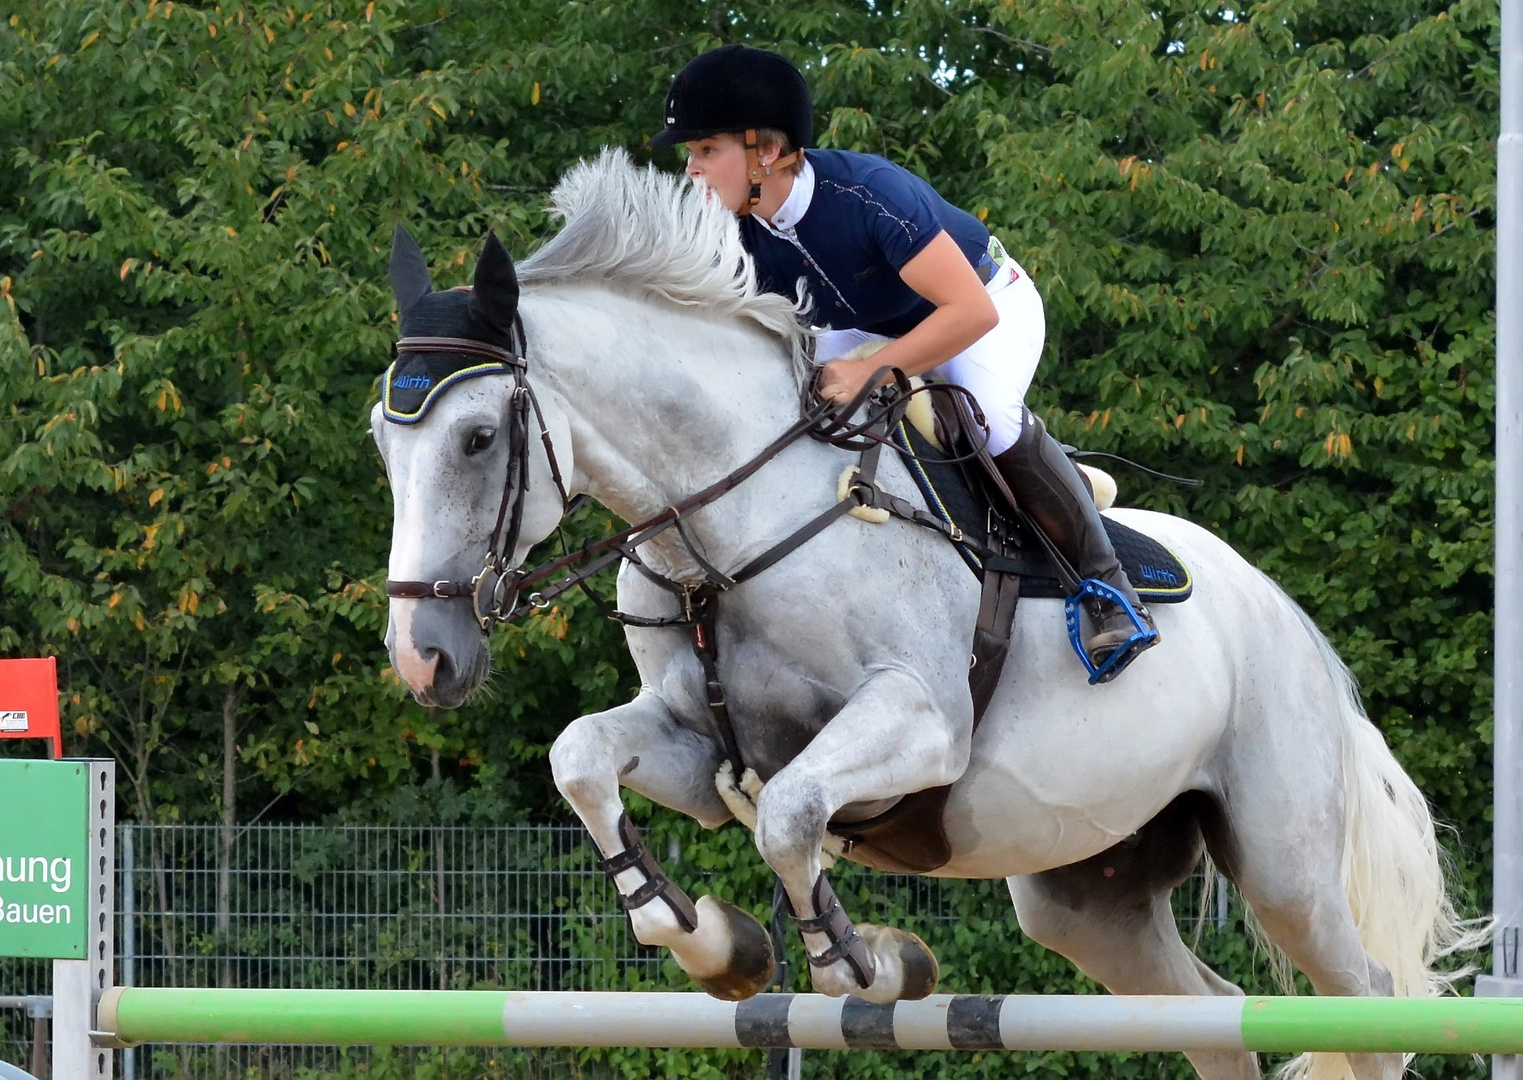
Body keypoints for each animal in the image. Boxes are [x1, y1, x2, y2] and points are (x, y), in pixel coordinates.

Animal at [374, 149, 1480, 1078]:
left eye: (477, 438)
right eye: (384, 444)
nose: (424, 659)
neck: (726, 531)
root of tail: (1282, 612)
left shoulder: (921, 722)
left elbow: (789, 816)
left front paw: (863, 962)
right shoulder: (701, 745)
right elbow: (585, 760)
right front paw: (719, 945)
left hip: (1284, 864)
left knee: (1369, 1004)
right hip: (1089, 896)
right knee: (1209, 1016)